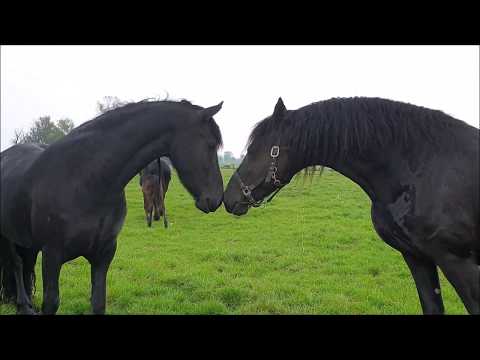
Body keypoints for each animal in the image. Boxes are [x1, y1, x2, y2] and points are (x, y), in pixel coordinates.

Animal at [0, 99, 225, 316]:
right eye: (210, 144)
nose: (216, 199)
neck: (86, 181)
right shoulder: (52, 255)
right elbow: (51, 303)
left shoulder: (104, 253)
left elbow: (98, 303)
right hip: (9, 237)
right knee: (17, 264)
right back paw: (24, 305)